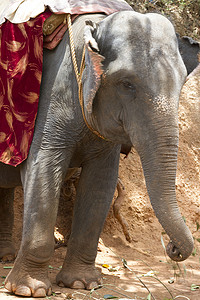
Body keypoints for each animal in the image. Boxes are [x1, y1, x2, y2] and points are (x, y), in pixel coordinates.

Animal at [0, 9, 194, 298]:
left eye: (182, 82)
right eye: (126, 84)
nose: (172, 248)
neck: (97, 23)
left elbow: (100, 183)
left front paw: (82, 283)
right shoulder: (52, 98)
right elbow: (43, 170)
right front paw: (28, 289)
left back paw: (5, 256)